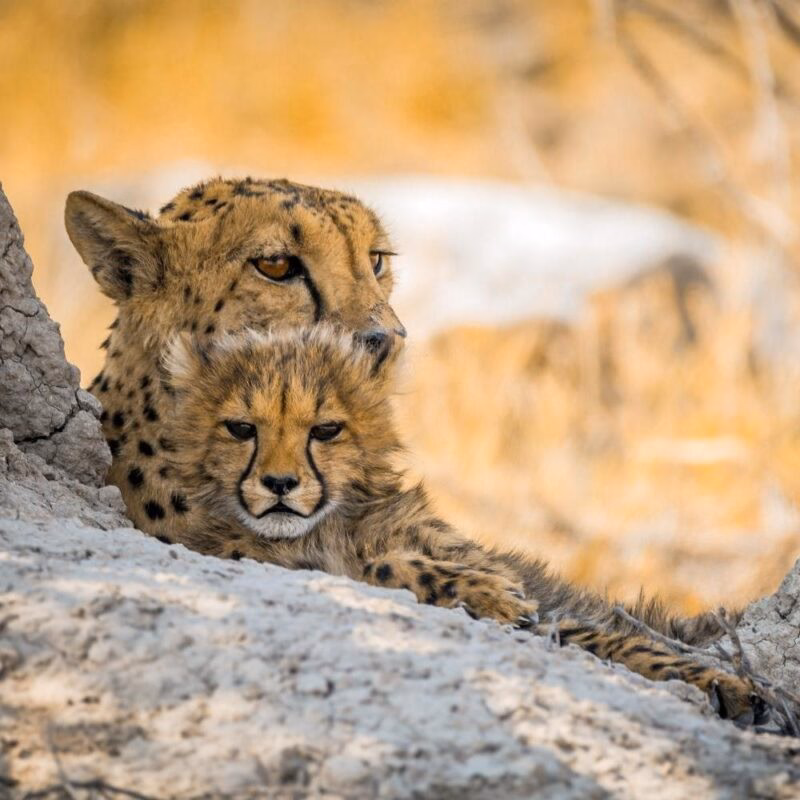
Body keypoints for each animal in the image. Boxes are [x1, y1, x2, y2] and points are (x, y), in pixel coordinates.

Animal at [162, 323, 768, 726]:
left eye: (326, 429)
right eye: (242, 428)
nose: (281, 483)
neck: (326, 527)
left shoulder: (543, 604)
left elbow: (602, 635)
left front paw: (723, 683)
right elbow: (384, 565)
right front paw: (487, 594)